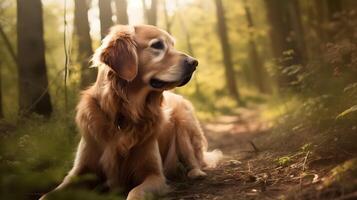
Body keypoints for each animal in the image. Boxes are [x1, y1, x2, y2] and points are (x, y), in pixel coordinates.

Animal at [40, 25, 221, 200]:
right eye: (157, 45)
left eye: (172, 45)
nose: (194, 62)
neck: (125, 114)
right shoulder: (80, 171)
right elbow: (48, 194)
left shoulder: (154, 175)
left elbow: (135, 193)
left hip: (184, 123)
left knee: (194, 158)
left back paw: (195, 173)